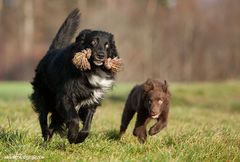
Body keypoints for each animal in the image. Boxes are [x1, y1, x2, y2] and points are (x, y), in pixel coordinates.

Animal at [30, 8, 120, 144]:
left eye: (107, 45)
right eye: (93, 42)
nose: (101, 55)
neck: (92, 70)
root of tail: (49, 53)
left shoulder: (92, 100)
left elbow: (87, 126)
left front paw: (78, 138)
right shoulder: (66, 96)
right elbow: (74, 118)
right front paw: (72, 136)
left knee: (53, 123)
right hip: (44, 96)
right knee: (43, 117)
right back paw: (45, 138)